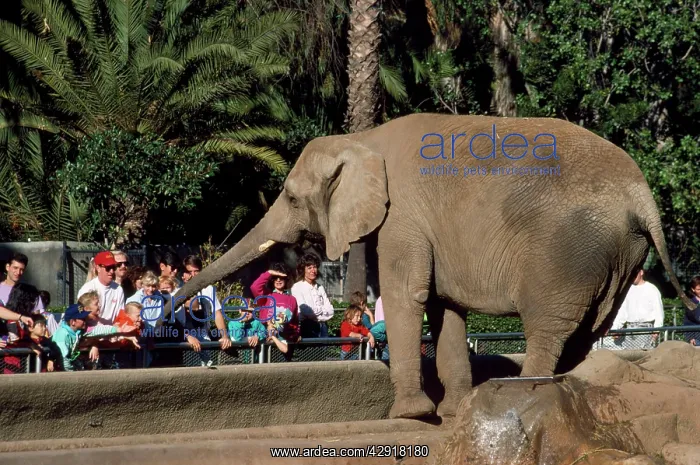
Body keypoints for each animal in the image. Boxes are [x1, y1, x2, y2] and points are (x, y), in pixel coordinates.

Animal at [165, 113, 696, 420]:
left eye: (293, 198)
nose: (175, 312)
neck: (363, 138)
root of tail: (642, 196)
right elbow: (445, 307)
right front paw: (456, 411)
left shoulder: (402, 217)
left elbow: (407, 295)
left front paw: (410, 416)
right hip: (618, 255)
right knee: (590, 329)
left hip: (568, 251)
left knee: (550, 327)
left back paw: (521, 394)